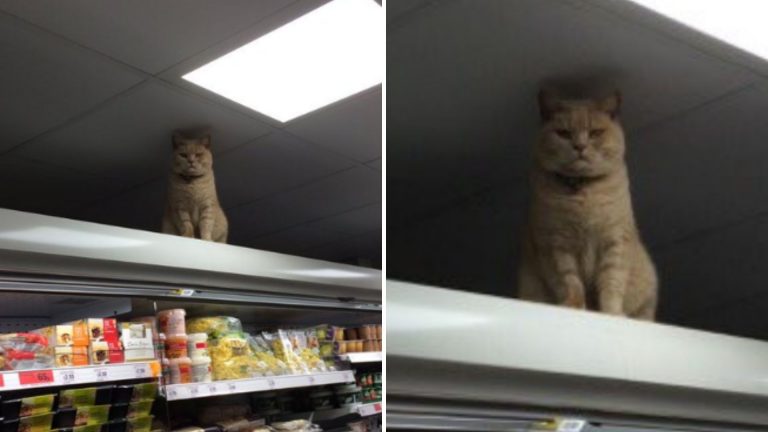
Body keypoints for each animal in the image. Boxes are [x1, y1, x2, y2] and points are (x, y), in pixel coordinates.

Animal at [520, 90, 656, 320]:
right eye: (564, 133)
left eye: (595, 133)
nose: (580, 146)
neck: (583, 193)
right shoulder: (556, 245)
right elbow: (570, 282)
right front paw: (574, 306)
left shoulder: (615, 240)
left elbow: (611, 282)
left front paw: (612, 313)